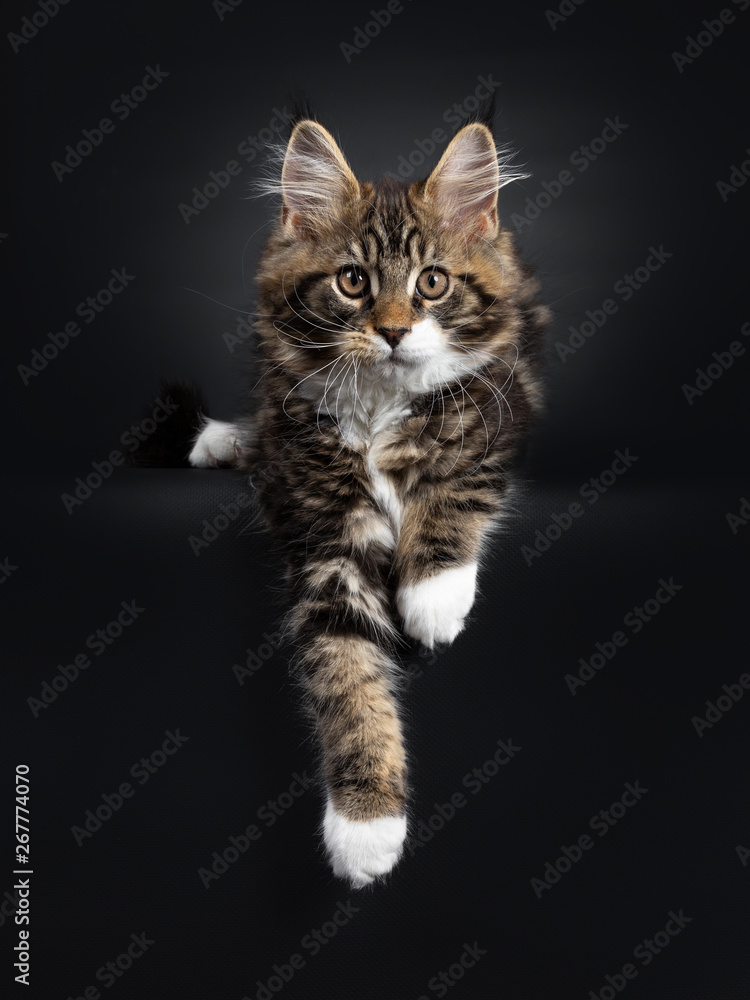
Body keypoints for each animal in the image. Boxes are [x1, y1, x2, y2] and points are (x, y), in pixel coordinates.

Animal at [189, 109, 552, 888]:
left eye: (432, 283)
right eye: (353, 282)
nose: (391, 331)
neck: (380, 405)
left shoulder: (499, 416)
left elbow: (453, 490)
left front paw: (433, 597)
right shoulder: (324, 543)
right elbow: (346, 679)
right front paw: (366, 828)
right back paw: (225, 440)